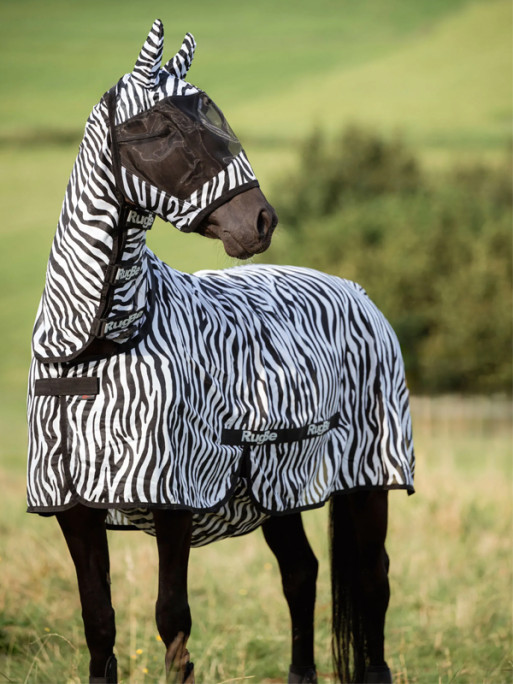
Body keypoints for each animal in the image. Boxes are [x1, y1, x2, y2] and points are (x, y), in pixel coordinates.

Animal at [27, 20, 415, 683]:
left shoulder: (173, 500)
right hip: (280, 488)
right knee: (302, 574)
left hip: (368, 479)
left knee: (373, 583)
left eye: (214, 114)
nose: (260, 221)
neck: (92, 348)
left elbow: (172, 622)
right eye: (162, 127)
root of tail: (357, 291)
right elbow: (99, 625)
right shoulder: (74, 509)